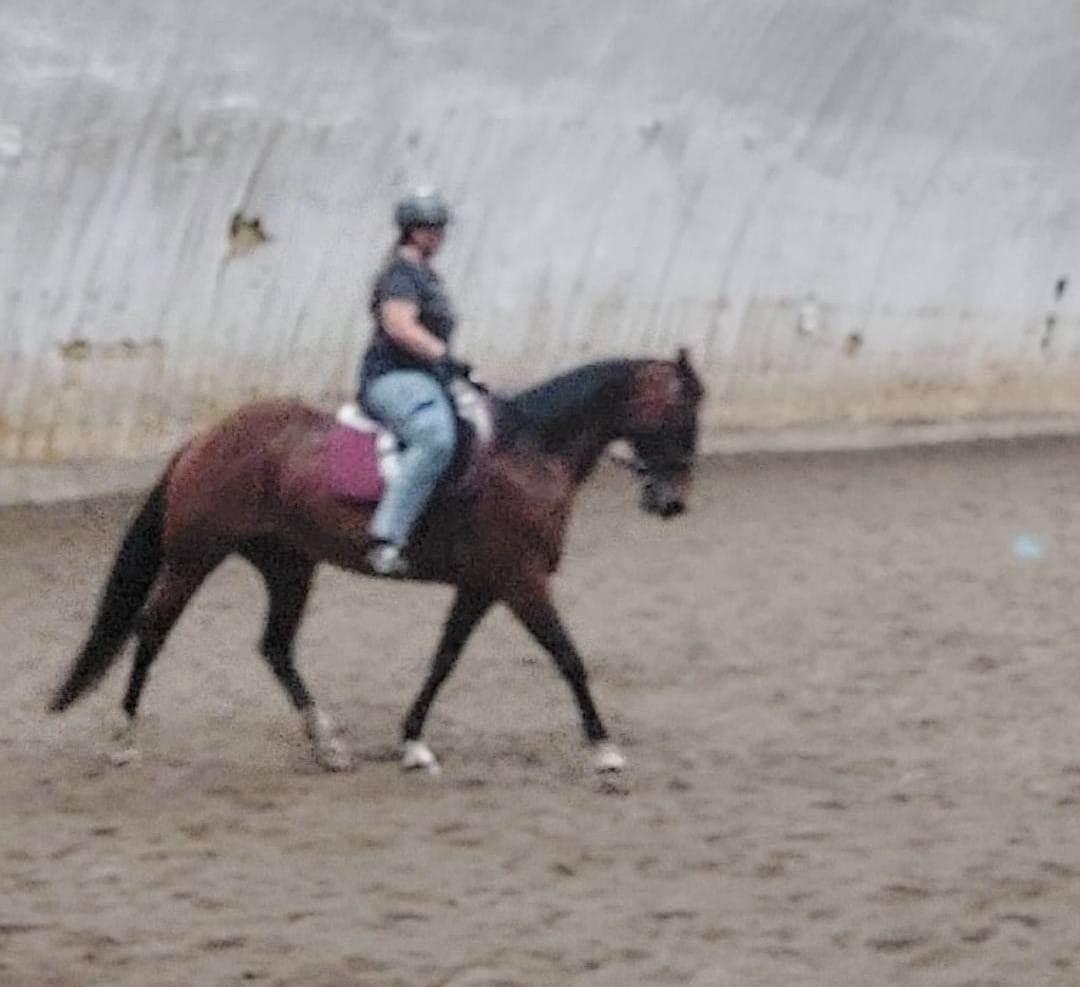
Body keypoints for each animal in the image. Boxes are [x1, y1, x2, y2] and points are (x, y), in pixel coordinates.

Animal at [48, 349, 704, 775]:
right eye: (682, 414)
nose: (672, 502)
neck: (530, 452)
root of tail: (206, 438)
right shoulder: (520, 581)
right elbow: (567, 656)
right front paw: (604, 749)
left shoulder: (483, 585)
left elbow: (444, 661)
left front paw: (412, 742)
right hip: (196, 556)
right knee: (153, 630)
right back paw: (124, 738)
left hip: (289, 565)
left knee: (275, 646)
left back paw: (328, 745)